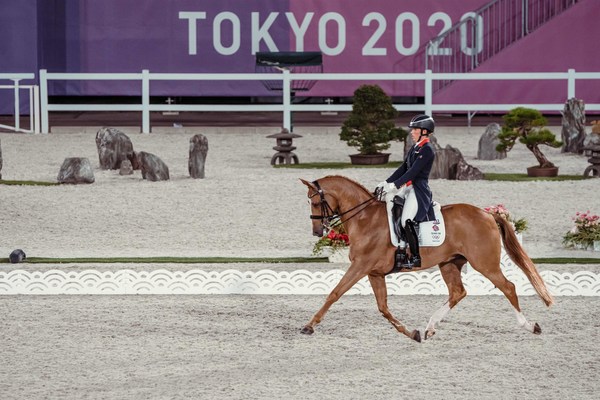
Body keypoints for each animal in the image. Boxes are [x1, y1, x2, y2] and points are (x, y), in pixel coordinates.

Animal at [300, 177, 552, 342]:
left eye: (315, 202)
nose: (317, 231)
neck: (364, 218)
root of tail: (488, 214)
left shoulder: (360, 266)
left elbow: (334, 293)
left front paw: (309, 326)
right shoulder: (374, 272)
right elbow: (383, 308)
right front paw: (412, 333)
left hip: (485, 264)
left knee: (508, 287)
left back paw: (530, 326)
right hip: (450, 263)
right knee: (457, 292)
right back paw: (430, 327)